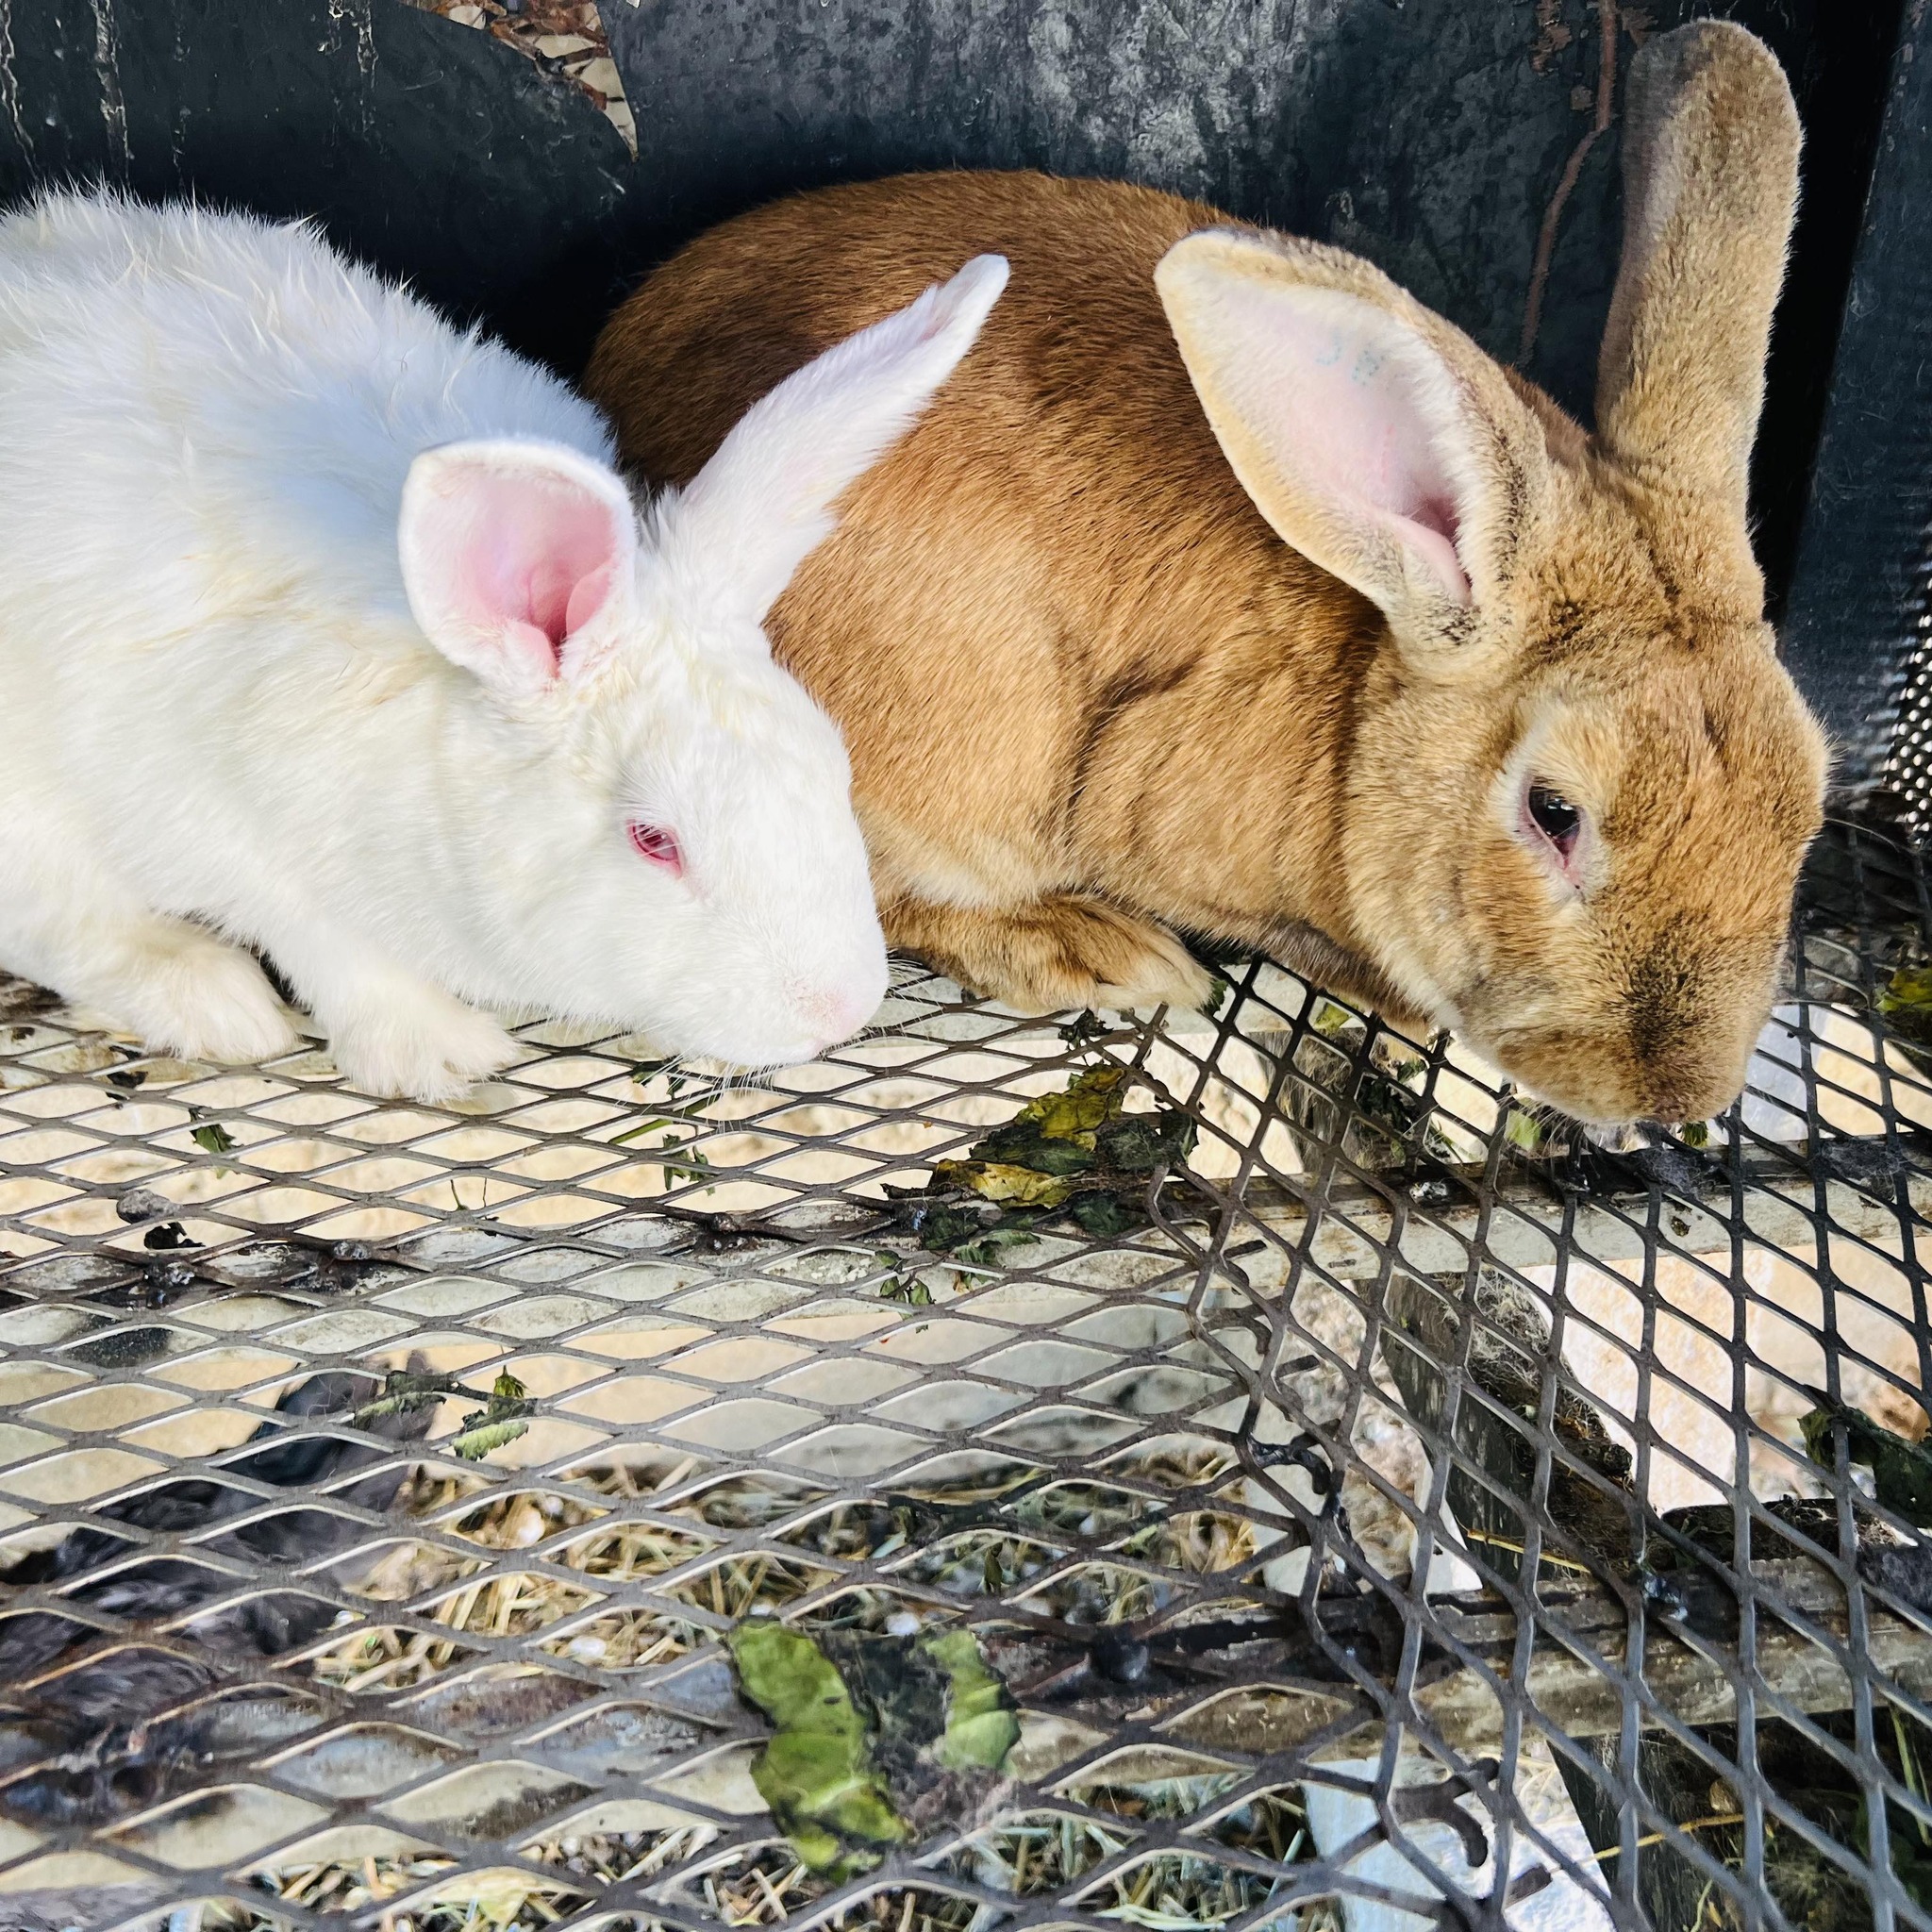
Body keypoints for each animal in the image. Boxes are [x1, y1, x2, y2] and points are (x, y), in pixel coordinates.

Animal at [0, 192, 1008, 1102]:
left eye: (833, 766)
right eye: (654, 841)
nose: (838, 1011)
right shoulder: (227, 829)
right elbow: (332, 943)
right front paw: (439, 1054)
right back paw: (215, 1002)